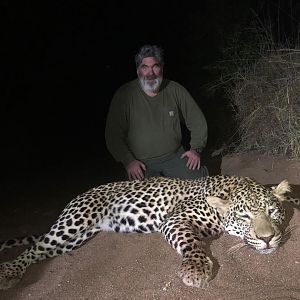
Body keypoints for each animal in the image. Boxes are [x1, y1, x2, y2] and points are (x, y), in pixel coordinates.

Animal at [0, 175, 298, 290]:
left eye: (272, 212)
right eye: (244, 217)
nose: (266, 238)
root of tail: (81, 194)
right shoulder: (176, 219)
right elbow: (191, 242)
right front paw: (195, 270)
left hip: (75, 240)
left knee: (44, 251)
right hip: (73, 222)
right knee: (35, 248)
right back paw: (9, 272)